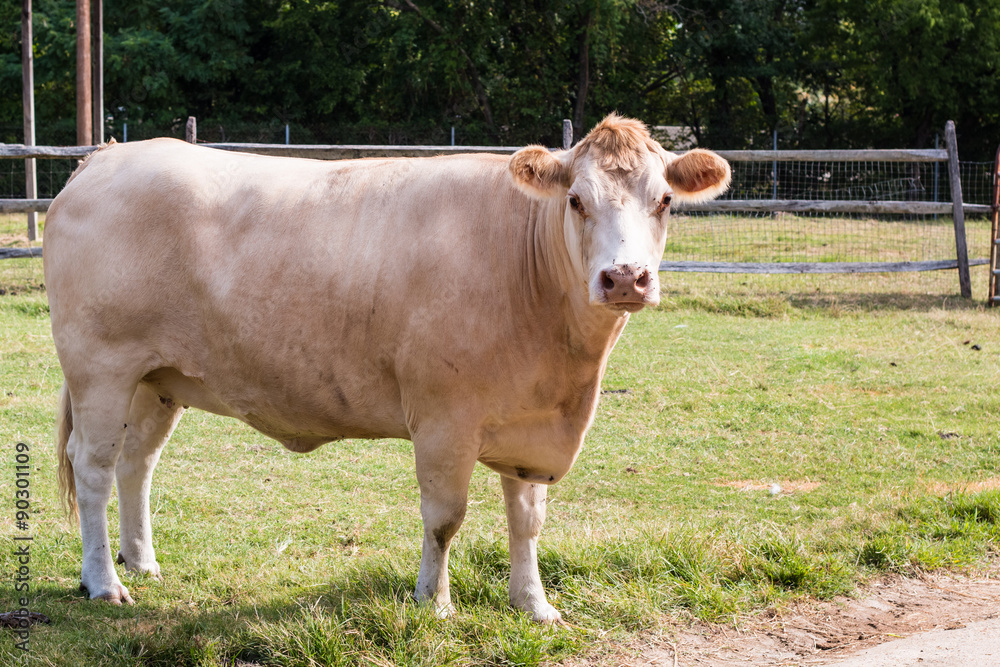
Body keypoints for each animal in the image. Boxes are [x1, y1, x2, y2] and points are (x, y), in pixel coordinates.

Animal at [47, 113, 732, 620]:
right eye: (576, 200)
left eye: (665, 200)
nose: (625, 278)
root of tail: (105, 157)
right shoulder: (444, 418)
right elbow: (445, 517)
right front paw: (435, 602)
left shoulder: (530, 423)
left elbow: (528, 520)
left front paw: (534, 605)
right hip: (101, 366)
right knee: (94, 466)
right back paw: (103, 581)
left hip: (157, 379)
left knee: (138, 462)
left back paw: (142, 561)